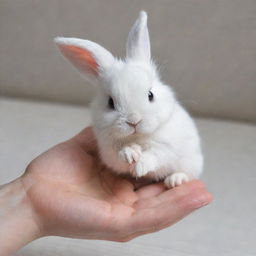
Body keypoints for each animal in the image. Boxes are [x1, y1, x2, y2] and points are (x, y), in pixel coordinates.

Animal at [55, 10, 203, 188]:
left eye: (150, 95)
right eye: (110, 102)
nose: (134, 121)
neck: (137, 137)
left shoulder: (167, 147)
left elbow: (155, 155)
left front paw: (140, 166)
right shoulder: (109, 151)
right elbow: (120, 154)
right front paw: (131, 154)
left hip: (192, 161)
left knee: (188, 173)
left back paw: (175, 180)